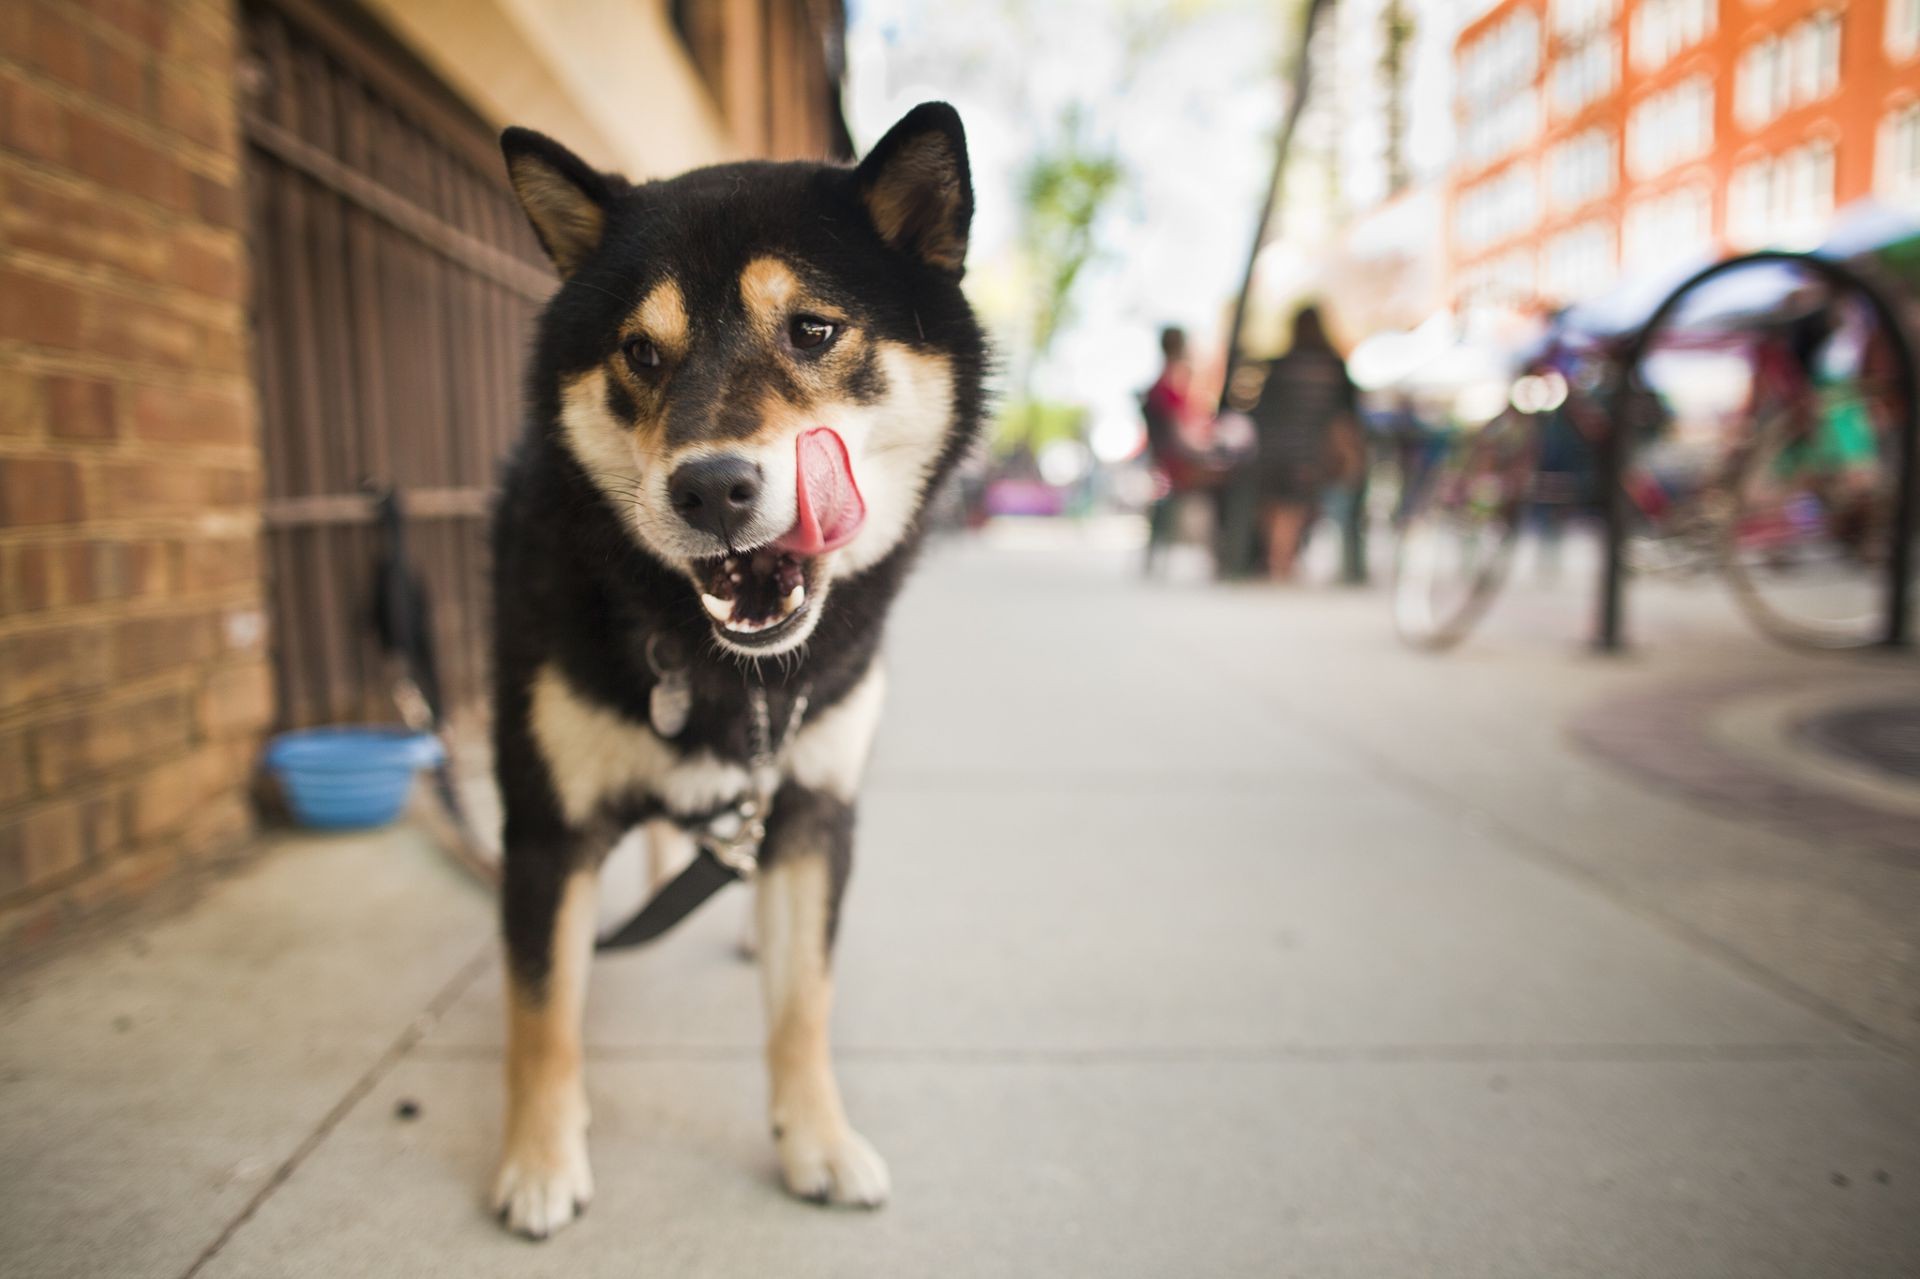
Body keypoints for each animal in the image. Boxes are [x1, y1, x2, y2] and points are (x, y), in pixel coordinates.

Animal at [480, 109, 990, 1236]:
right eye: (639, 350)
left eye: (812, 330)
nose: (712, 488)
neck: (728, 674)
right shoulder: (545, 826)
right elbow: (541, 1010)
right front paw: (539, 1156)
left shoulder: (813, 810)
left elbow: (805, 1004)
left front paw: (819, 1142)